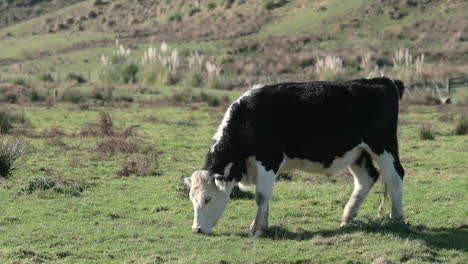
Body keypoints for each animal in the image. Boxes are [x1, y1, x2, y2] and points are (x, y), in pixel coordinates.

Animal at [183, 77, 406, 236]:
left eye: (208, 198)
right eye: (192, 199)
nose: (197, 230)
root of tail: (382, 80)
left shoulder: (268, 161)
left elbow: (261, 196)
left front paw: (257, 229)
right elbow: (264, 198)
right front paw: (262, 225)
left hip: (383, 145)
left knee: (395, 177)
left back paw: (396, 218)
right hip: (357, 153)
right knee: (366, 179)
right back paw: (347, 217)